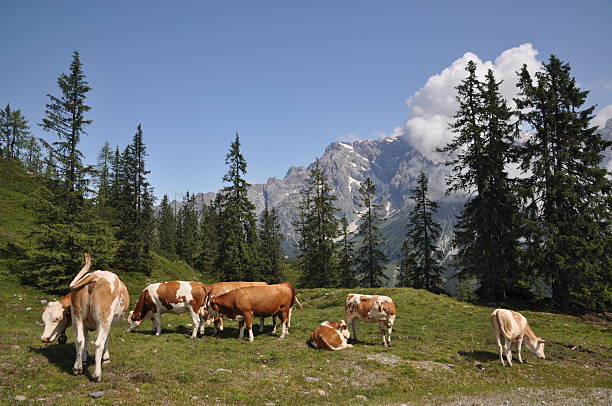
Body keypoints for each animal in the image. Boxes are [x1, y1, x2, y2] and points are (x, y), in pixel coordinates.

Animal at [39, 252, 130, 382]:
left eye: (57, 319)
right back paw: (97, 375)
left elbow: (85, 340)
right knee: (98, 343)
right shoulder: (108, 323)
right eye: (44, 320)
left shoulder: (84, 325)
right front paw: (105, 358)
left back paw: (77, 368)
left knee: (79, 340)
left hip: (78, 317)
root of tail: (95, 276)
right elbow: (105, 339)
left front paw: (83, 359)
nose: (44, 338)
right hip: (104, 319)